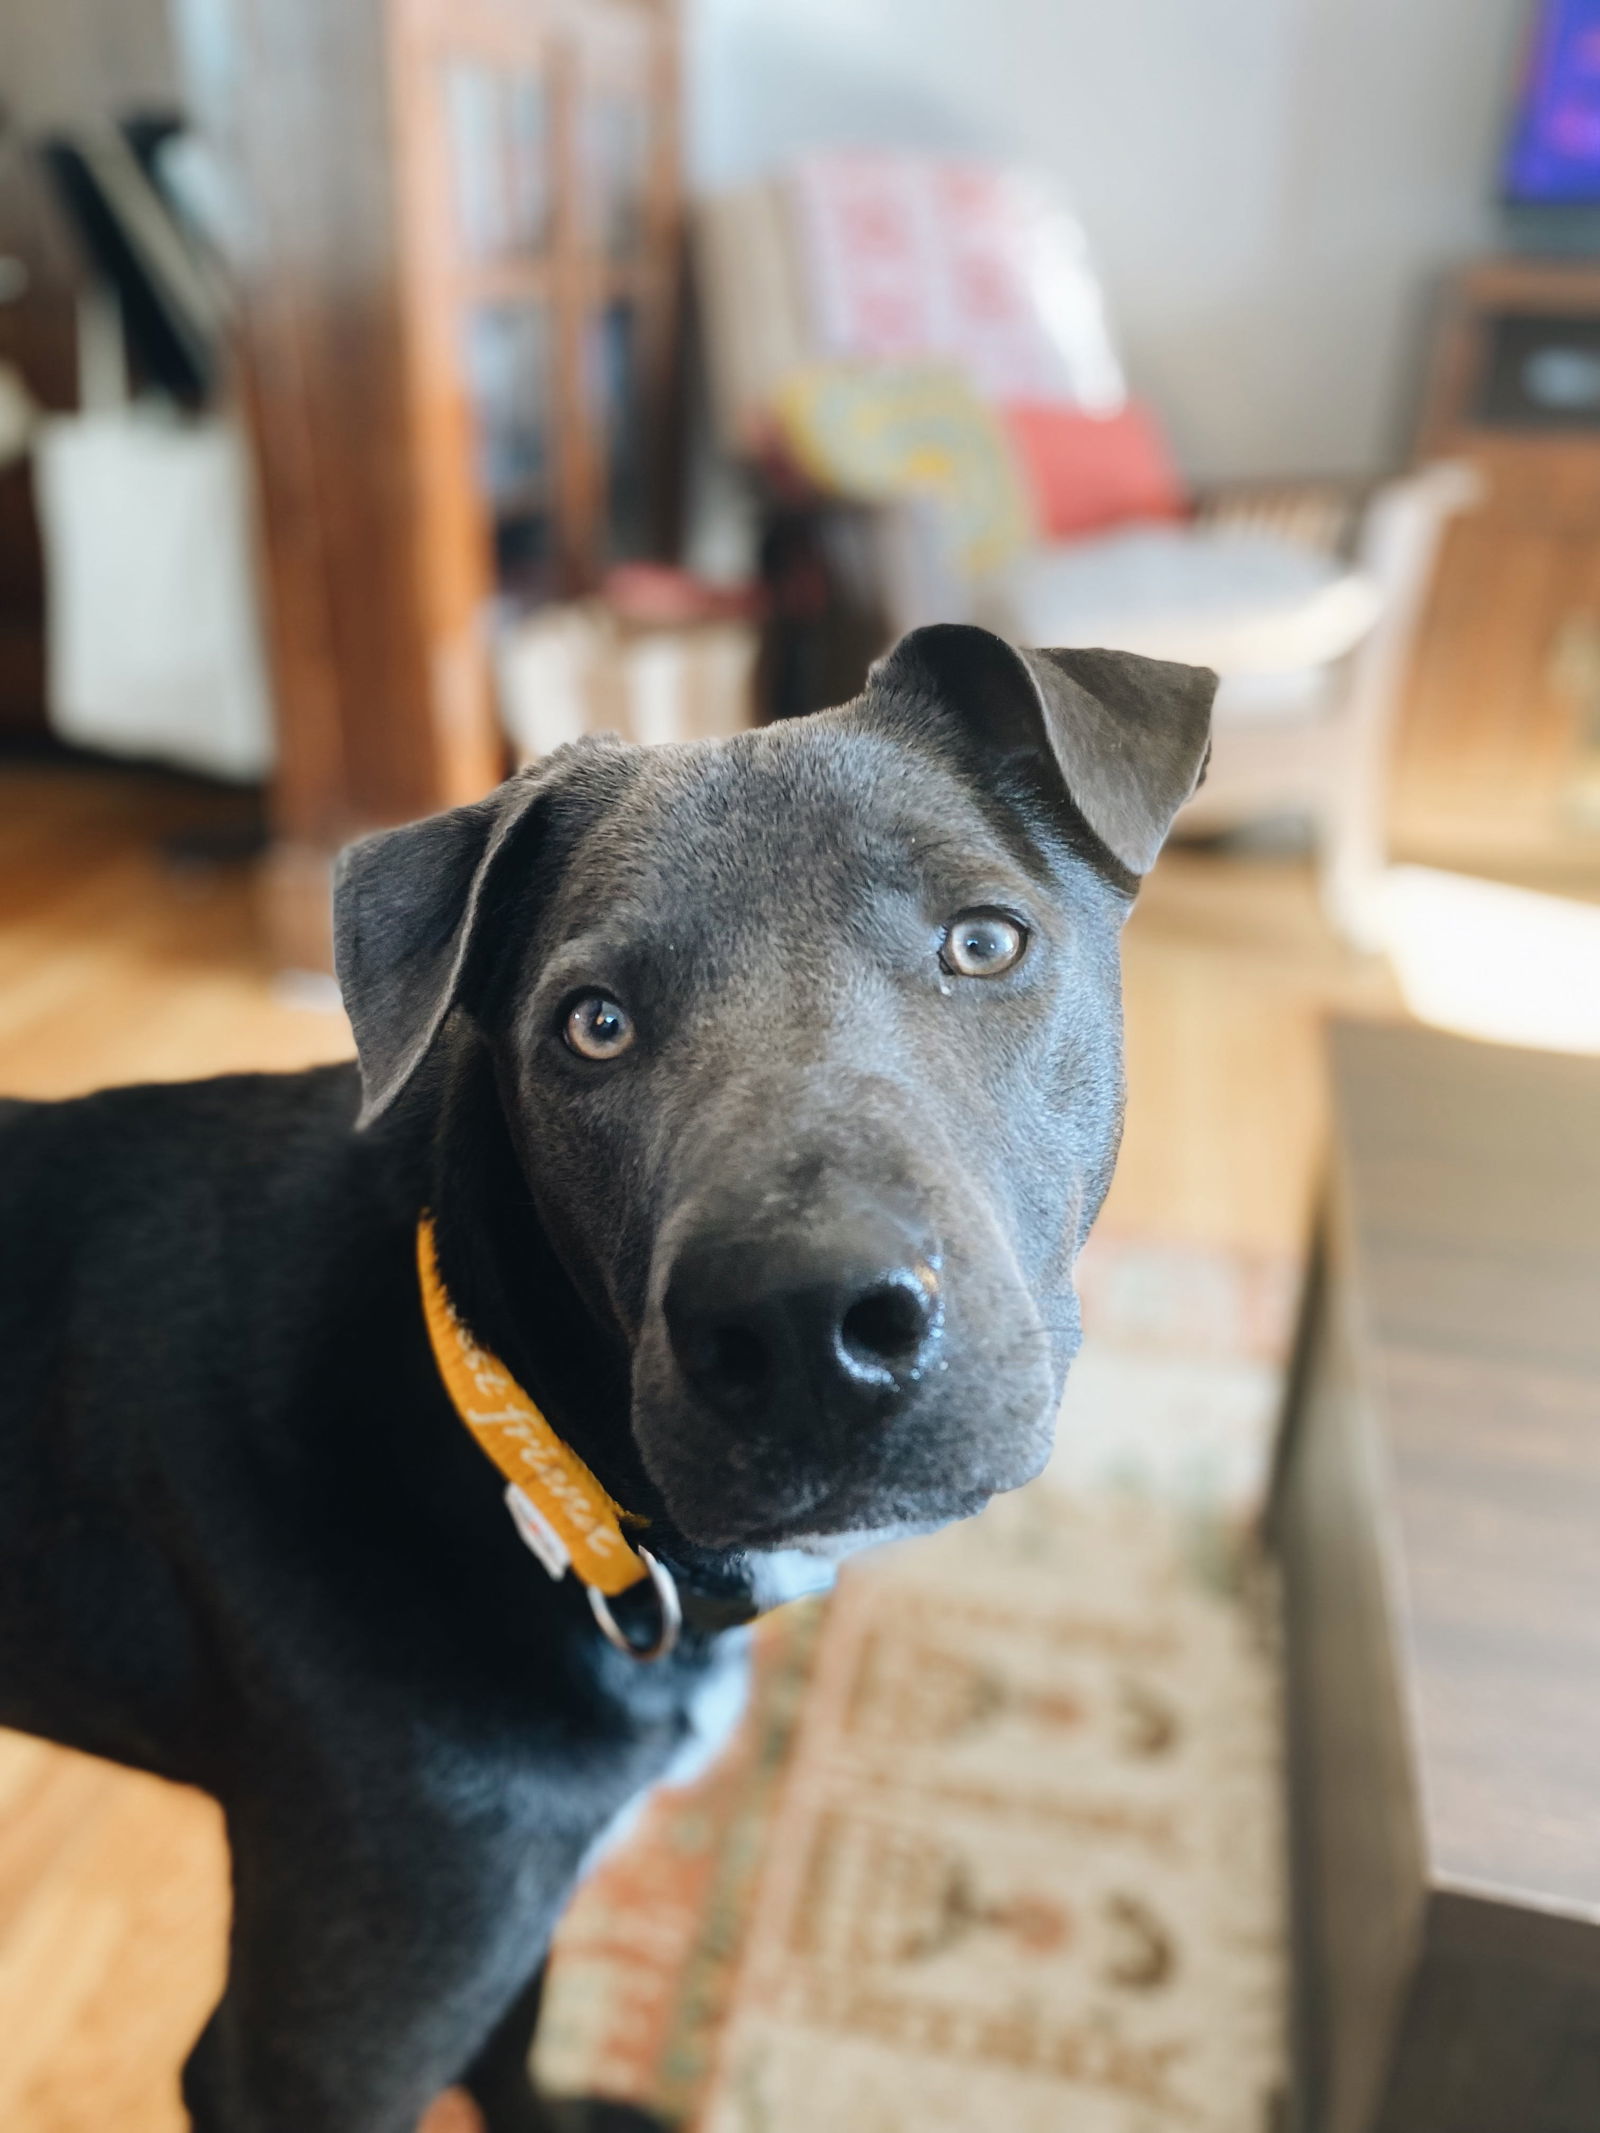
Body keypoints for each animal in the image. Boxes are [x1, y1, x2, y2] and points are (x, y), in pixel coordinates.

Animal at [0, 622, 1211, 2124]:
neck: (513, 1461)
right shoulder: (319, 2044)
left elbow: (516, 2042)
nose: (805, 1328)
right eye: (593, 1025)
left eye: (984, 941)